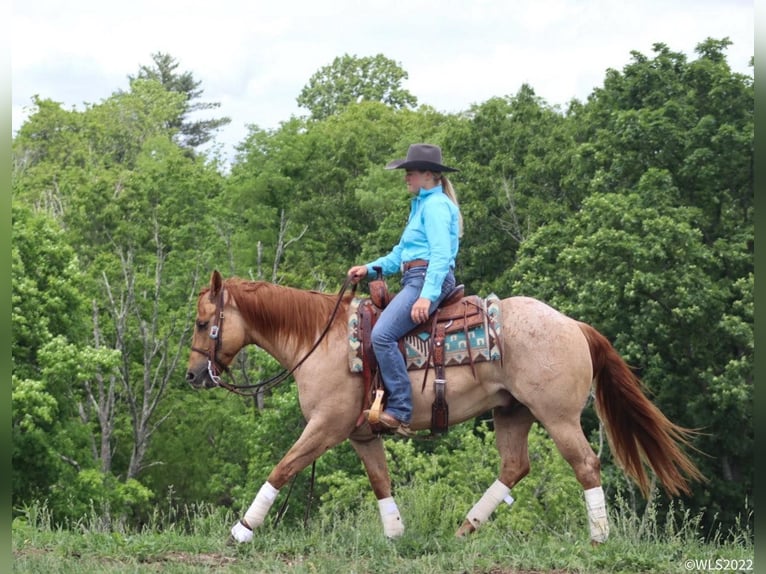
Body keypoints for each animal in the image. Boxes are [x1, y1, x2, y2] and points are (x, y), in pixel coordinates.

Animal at [184, 270, 704, 544]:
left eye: (202, 322)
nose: (192, 376)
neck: (322, 340)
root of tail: (574, 325)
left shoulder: (326, 426)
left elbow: (283, 467)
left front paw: (242, 530)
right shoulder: (361, 432)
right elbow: (381, 481)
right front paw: (395, 534)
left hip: (558, 417)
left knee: (586, 465)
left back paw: (598, 537)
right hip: (511, 413)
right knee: (514, 466)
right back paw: (465, 528)